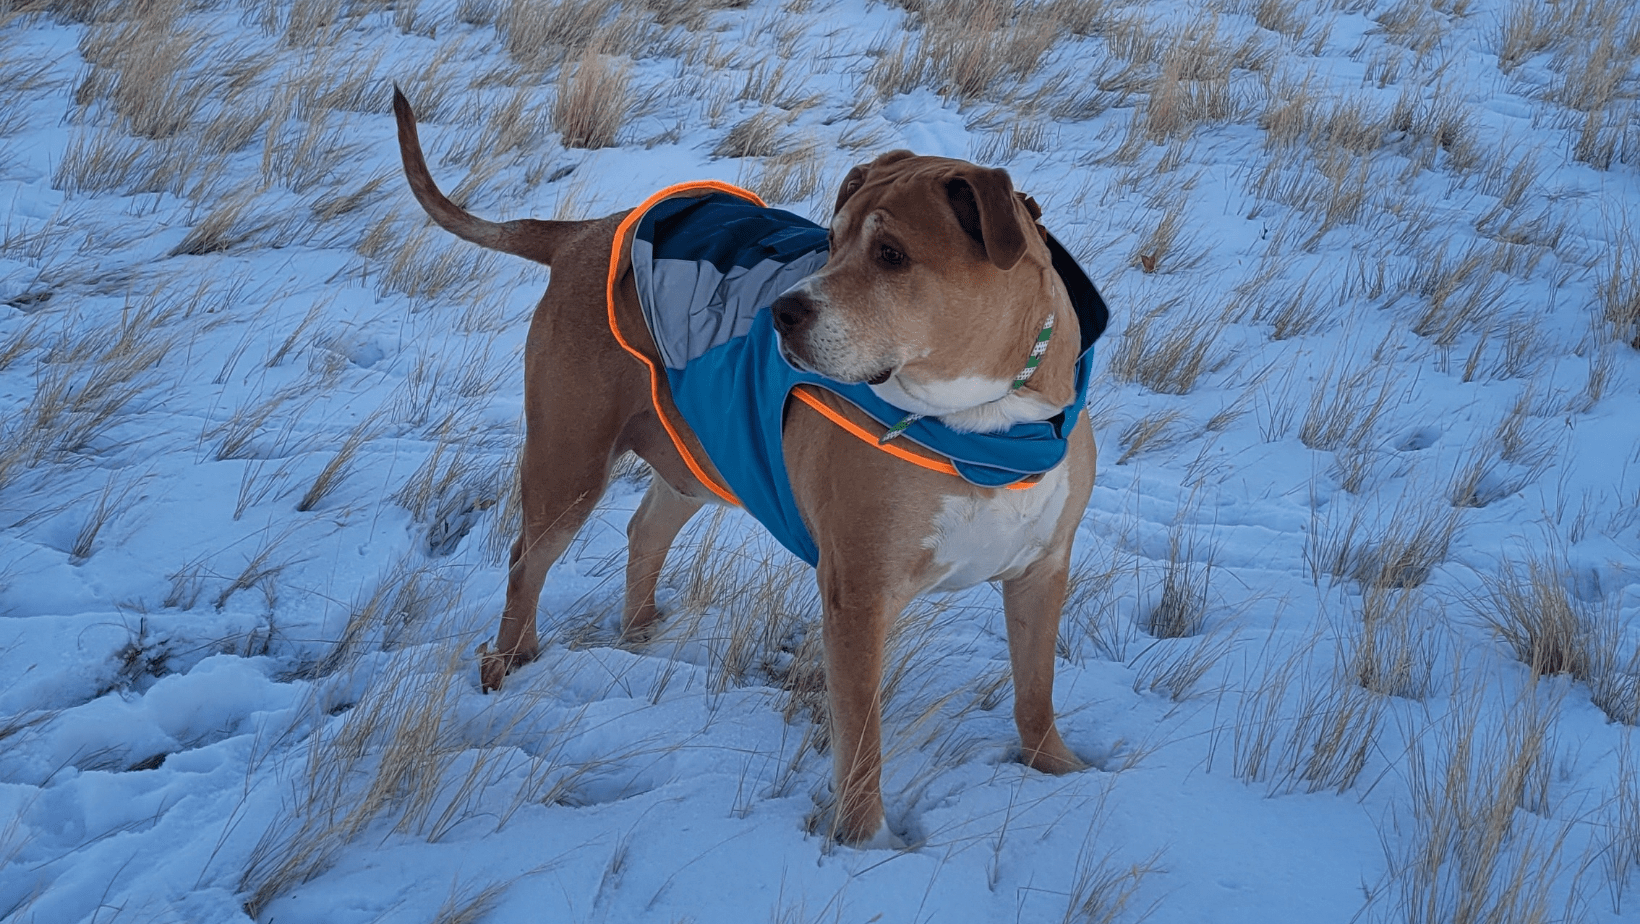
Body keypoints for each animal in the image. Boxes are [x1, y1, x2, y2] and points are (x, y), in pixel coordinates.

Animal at [390, 88, 1108, 846]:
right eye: (831, 241)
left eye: (892, 255)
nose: (782, 312)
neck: (990, 425)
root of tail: (584, 233)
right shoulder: (859, 593)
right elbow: (863, 738)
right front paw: (865, 840)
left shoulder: (1041, 571)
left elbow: (1035, 692)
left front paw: (1058, 771)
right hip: (570, 460)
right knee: (527, 559)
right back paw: (510, 660)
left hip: (697, 452)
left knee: (646, 530)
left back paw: (641, 633)